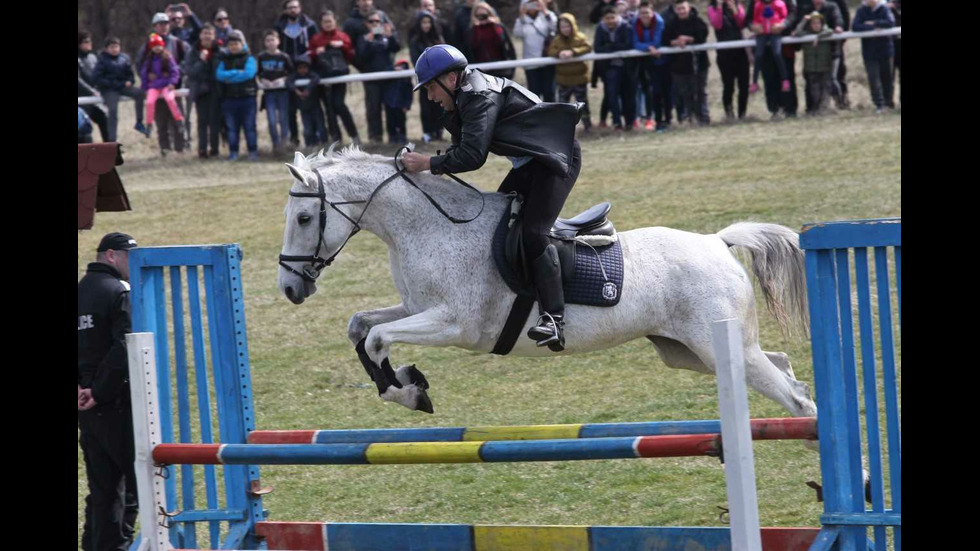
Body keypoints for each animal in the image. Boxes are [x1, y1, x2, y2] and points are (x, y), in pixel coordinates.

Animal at [278, 147, 820, 422]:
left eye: (304, 217)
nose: (289, 289)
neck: (428, 227)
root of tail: (716, 241)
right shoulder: (416, 307)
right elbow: (360, 325)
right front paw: (409, 386)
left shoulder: (453, 324)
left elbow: (376, 338)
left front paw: (407, 388)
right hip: (689, 351)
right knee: (783, 367)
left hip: (714, 343)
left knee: (796, 399)